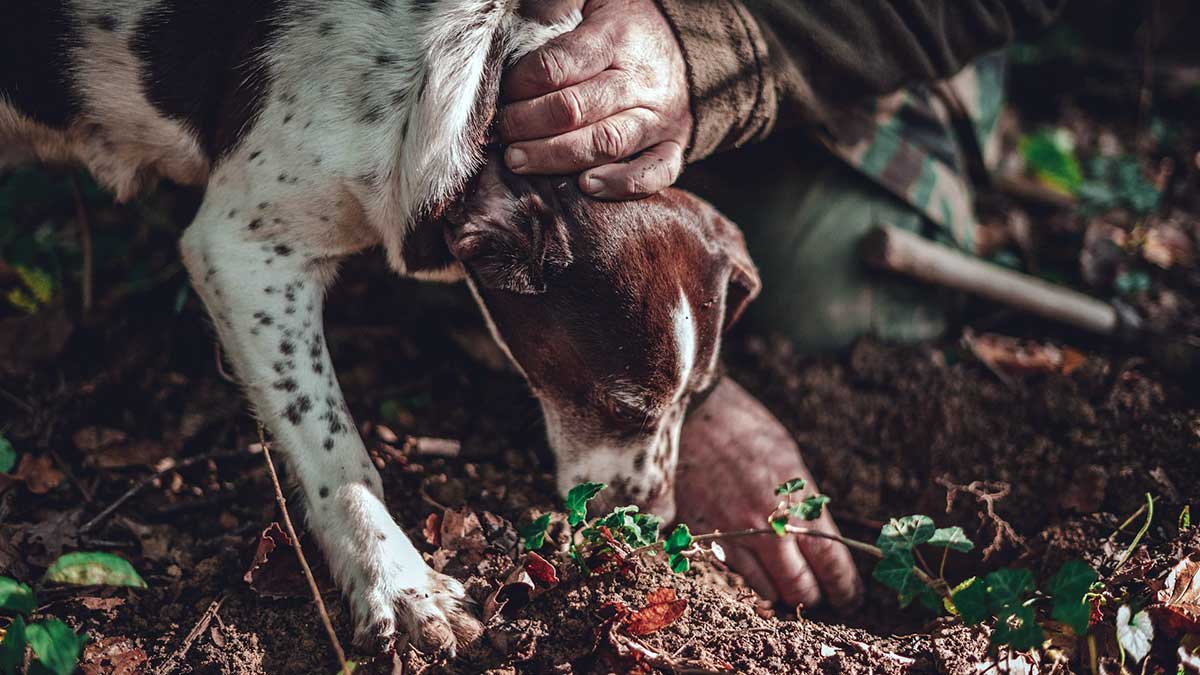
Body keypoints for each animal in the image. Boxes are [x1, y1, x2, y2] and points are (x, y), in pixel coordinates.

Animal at [2, 0, 758, 653]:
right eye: (620, 407)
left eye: (698, 398)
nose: (655, 520)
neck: (475, 85)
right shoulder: (243, 250)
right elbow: (336, 449)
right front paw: (398, 581)